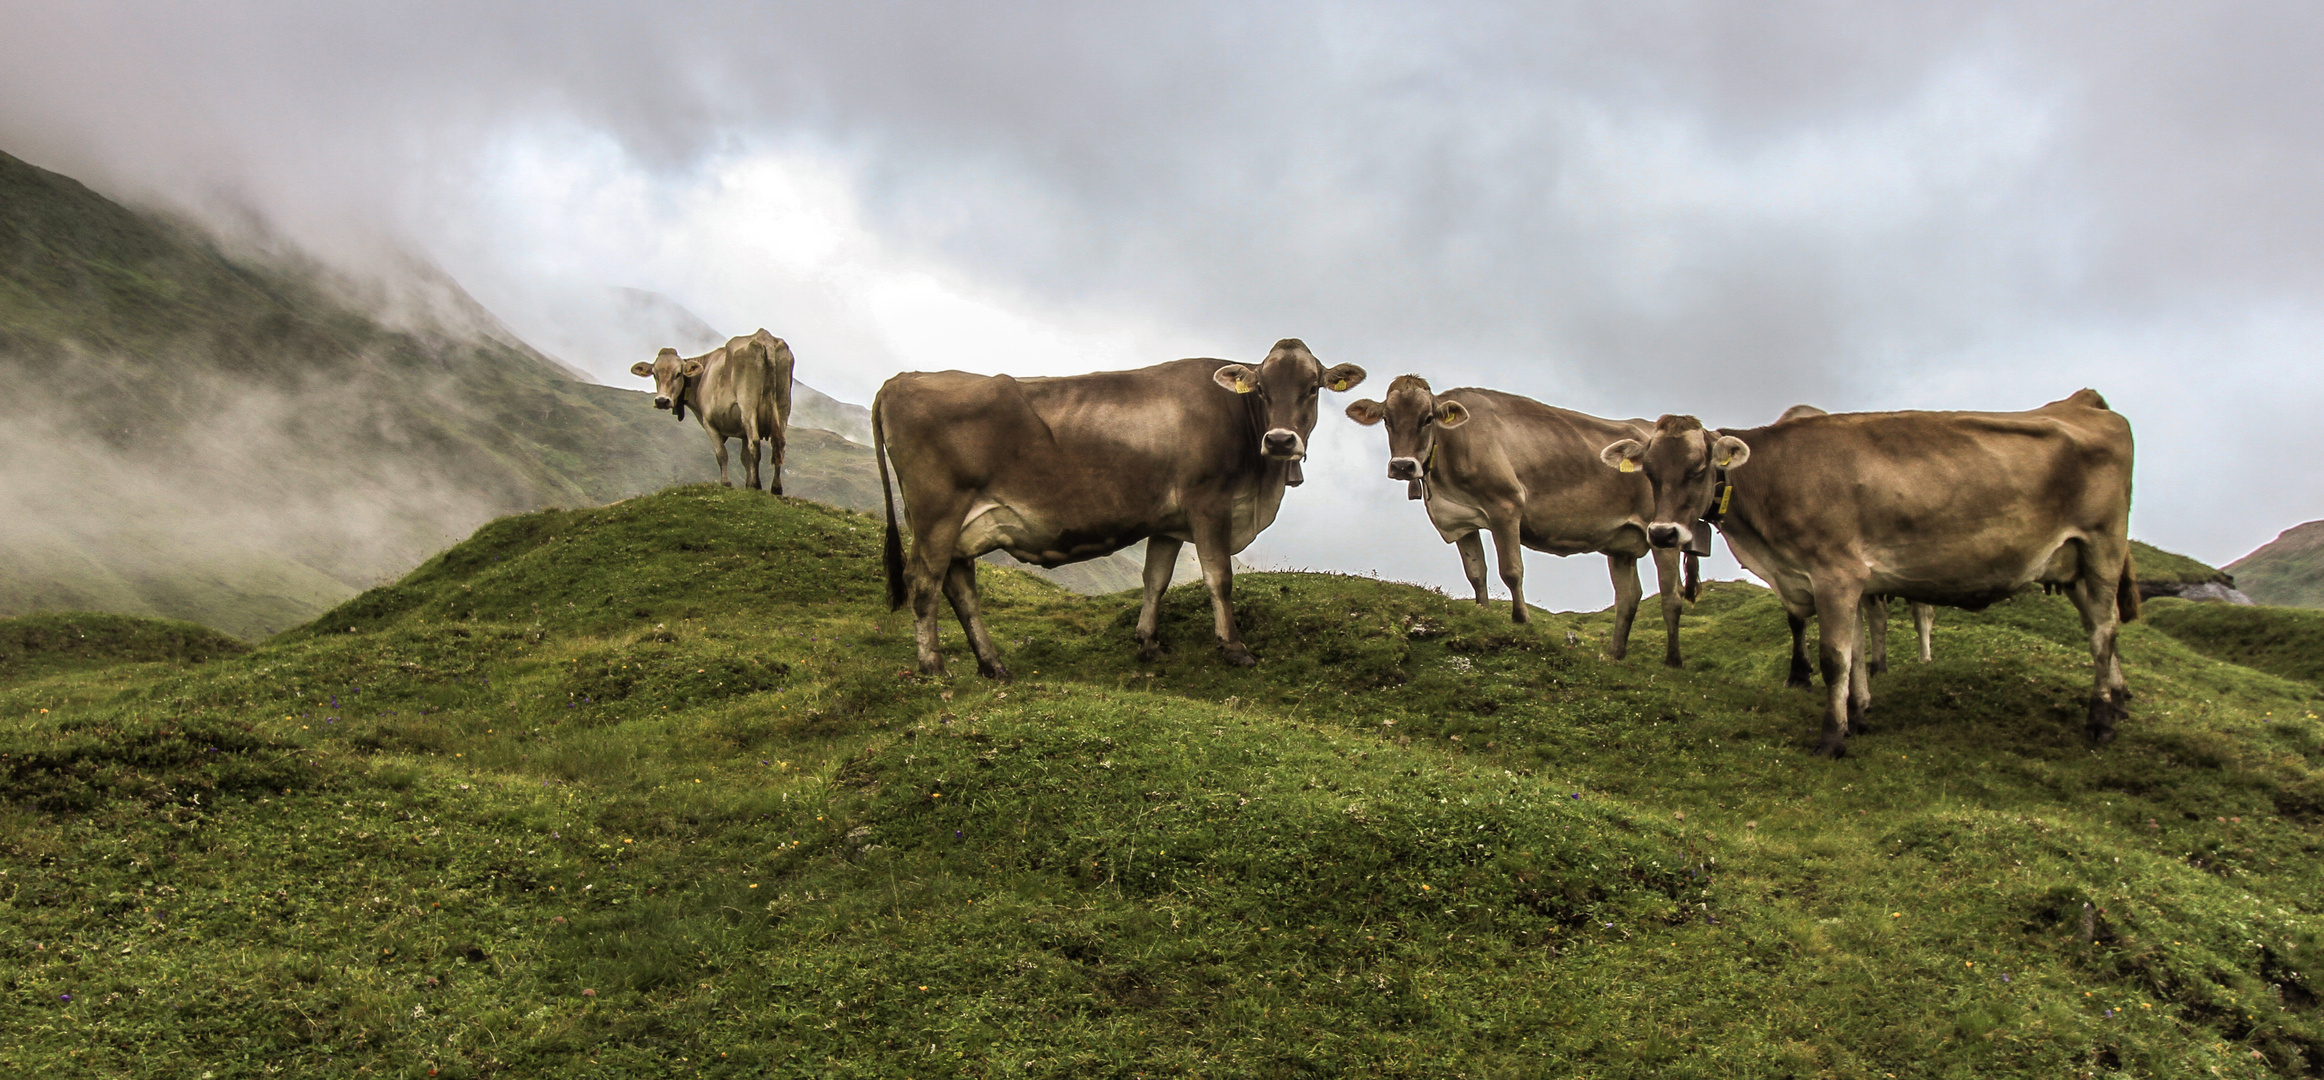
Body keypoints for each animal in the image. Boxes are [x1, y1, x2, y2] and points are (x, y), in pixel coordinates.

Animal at [627, 329, 799, 494]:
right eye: (655, 374)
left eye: (678, 374)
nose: (662, 401)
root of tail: (765, 336)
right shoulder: (742, 430)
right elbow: (744, 458)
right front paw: (747, 484)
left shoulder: (709, 422)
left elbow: (721, 454)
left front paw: (728, 483)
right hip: (783, 406)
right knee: (779, 444)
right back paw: (776, 488)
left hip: (748, 404)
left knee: (755, 442)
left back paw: (757, 485)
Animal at [873, 336, 1357, 673]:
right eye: (1262, 391)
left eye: (1312, 389)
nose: (1280, 441)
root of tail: (903, 378)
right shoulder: (1209, 505)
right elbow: (1219, 579)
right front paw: (1234, 648)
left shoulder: (1168, 521)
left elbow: (1155, 579)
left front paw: (1148, 643)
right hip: (937, 513)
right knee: (924, 582)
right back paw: (933, 667)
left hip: (960, 523)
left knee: (960, 587)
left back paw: (993, 665)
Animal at [1347, 378, 1691, 664]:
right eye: (1387, 420)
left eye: (1427, 418)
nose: (1403, 466)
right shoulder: (1460, 521)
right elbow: (1476, 573)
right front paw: (1482, 614)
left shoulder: (1506, 506)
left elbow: (1511, 570)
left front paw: (1522, 620)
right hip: (1620, 543)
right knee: (1629, 596)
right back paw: (1614, 654)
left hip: (1664, 534)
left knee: (1671, 595)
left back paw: (1673, 660)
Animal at [1608, 392, 2128, 752]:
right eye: (1649, 471)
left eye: (1698, 469)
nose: (1663, 533)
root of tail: (2089, 407)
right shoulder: (1850, 579)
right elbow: (1856, 651)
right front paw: (1857, 717)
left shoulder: (1835, 574)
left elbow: (1834, 657)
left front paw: (1831, 737)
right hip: (2073, 562)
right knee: (2101, 625)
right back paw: (2119, 700)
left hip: (2103, 545)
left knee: (2104, 629)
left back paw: (2100, 721)